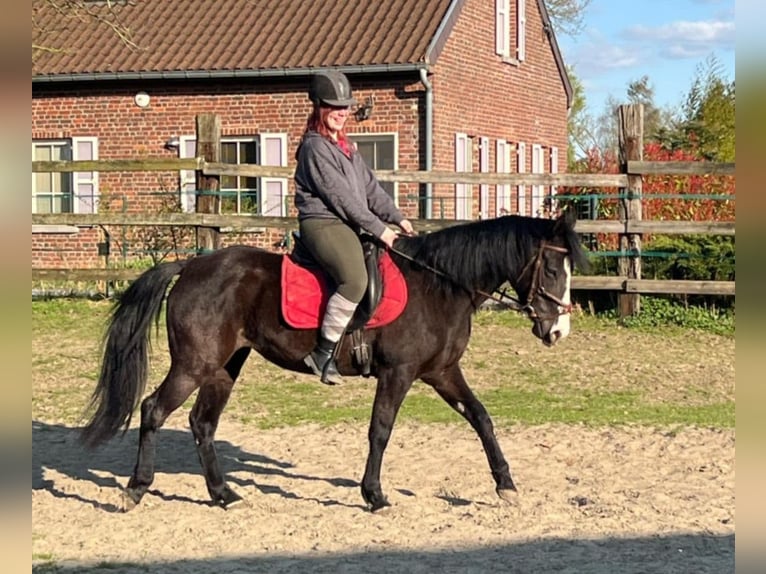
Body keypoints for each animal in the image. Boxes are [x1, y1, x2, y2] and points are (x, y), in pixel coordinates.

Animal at [81, 211, 589, 512]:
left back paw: (224, 495)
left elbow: (481, 418)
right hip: (194, 363)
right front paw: (375, 494)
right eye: (550, 268)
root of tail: (190, 266)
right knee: (153, 410)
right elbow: (381, 430)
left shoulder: (442, 373)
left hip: (224, 367)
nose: (558, 331)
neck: (439, 286)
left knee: (202, 424)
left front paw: (506, 485)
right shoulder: (399, 374)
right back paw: (135, 488)